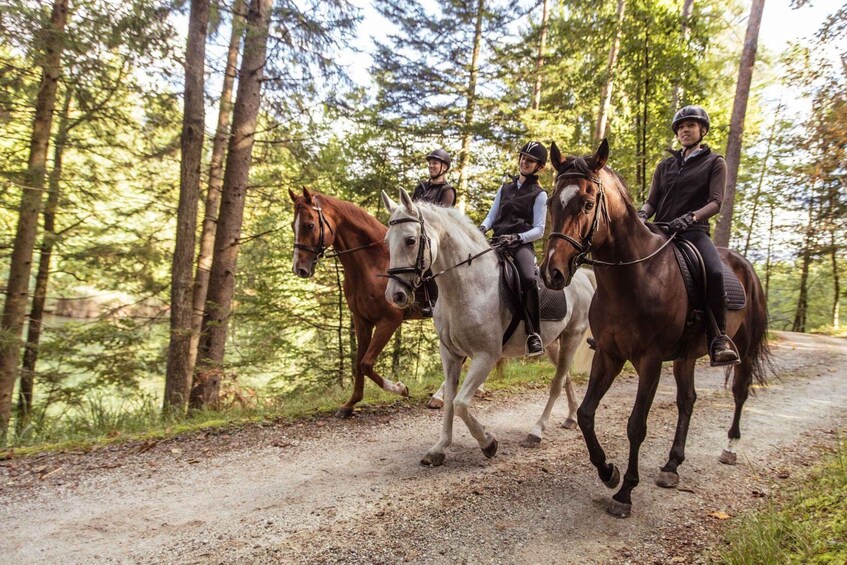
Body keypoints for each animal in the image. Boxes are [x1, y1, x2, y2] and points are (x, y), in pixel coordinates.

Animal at [290, 187, 420, 416]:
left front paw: (400, 388)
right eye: (292, 226)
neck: (372, 264)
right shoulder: (362, 321)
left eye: (310, 225)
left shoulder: (389, 321)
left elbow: (366, 364)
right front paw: (350, 404)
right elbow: (359, 362)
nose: (299, 269)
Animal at [384, 187, 596, 464]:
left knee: (557, 383)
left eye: (410, 240)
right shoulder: (450, 354)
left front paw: (488, 443)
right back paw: (570, 418)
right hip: (552, 344)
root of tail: (581, 277)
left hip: (572, 336)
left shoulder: (486, 356)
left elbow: (461, 403)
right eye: (387, 241)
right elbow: (450, 400)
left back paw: (536, 432)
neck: (467, 285)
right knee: (566, 377)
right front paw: (439, 448)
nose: (395, 295)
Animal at [540, 140, 772, 516]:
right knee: (687, 400)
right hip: (685, 357)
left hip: (745, 347)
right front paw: (608, 471)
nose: (552, 273)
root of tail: (744, 265)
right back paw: (672, 465)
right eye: (551, 203)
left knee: (740, 392)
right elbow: (587, 414)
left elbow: (636, 425)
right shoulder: (608, 354)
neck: (635, 276)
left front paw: (624, 492)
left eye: (587, 203)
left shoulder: (649, 362)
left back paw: (730, 447)